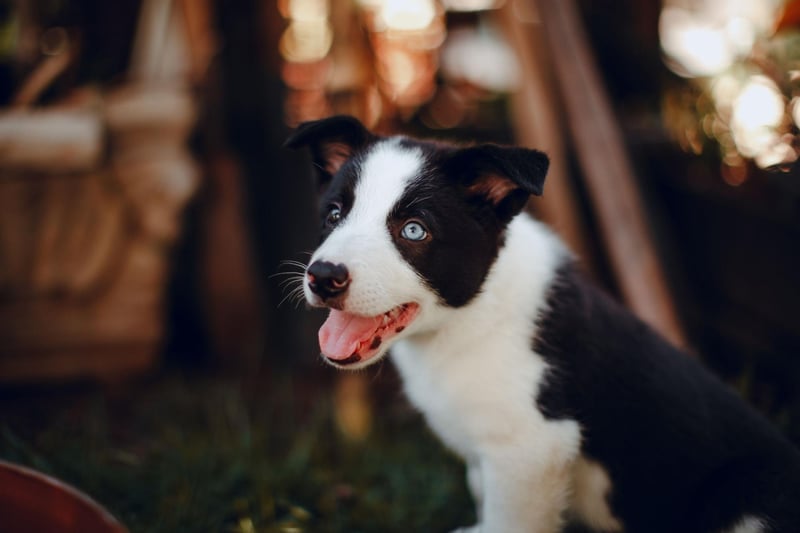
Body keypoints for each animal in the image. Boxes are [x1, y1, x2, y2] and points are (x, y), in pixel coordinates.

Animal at [286, 114, 800, 528]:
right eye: (334, 214)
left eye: (414, 230)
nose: (323, 277)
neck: (467, 320)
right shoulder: (491, 455)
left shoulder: (532, 445)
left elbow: (509, 522)